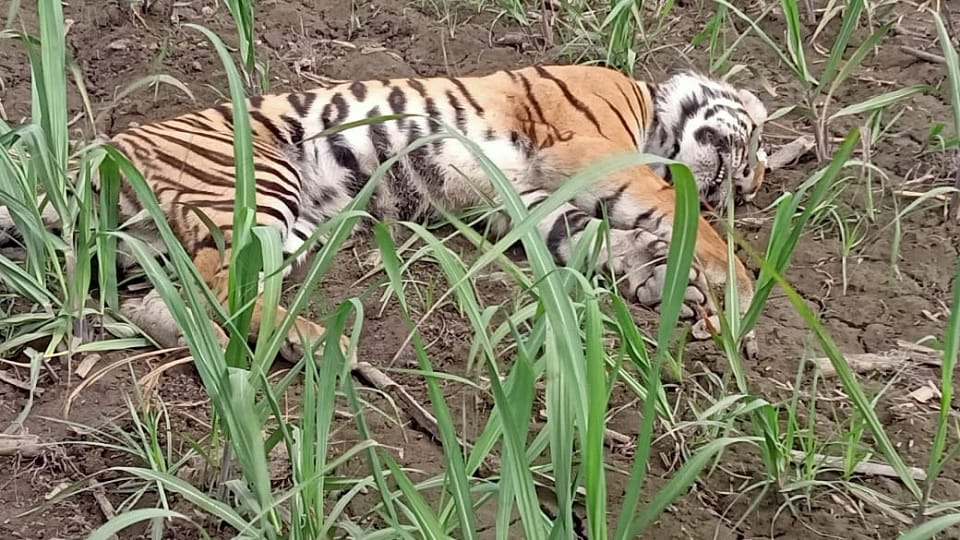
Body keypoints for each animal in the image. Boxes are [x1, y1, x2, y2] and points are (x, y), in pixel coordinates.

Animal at [0, 64, 768, 364]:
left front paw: (669, 284)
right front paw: (736, 287)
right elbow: (672, 207)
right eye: (755, 148)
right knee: (218, 283)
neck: (652, 115)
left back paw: (287, 343)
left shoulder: (528, 203)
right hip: (256, 184)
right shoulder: (588, 147)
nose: (745, 187)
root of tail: (89, 156)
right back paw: (319, 340)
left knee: (162, 302)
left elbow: (595, 238)